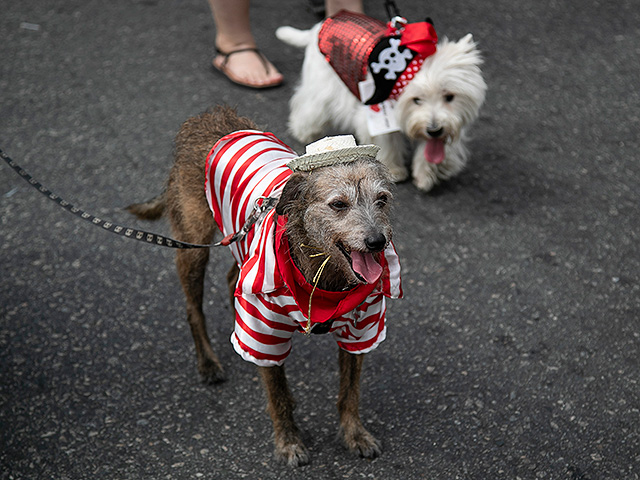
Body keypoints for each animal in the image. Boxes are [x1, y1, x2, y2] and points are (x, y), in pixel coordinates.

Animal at [127, 105, 402, 464]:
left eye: (381, 199)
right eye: (338, 204)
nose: (376, 241)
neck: (322, 271)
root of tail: (208, 116)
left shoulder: (361, 331)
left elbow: (350, 391)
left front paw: (354, 433)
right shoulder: (265, 335)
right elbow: (279, 393)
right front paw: (288, 441)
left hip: (238, 242)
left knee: (233, 278)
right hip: (193, 246)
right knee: (192, 308)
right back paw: (208, 362)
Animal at [278, 16, 488, 191]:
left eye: (449, 96)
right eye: (416, 100)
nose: (434, 130)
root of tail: (320, 25)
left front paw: (427, 174)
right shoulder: (376, 118)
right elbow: (387, 142)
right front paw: (395, 170)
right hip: (322, 87)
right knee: (308, 108)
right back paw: (305, 132)